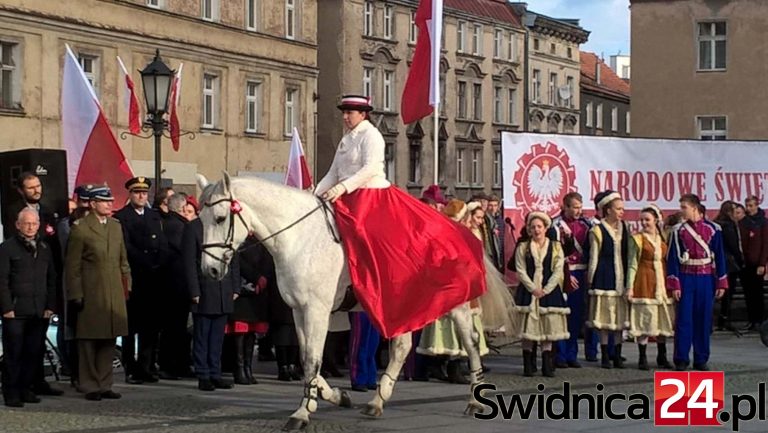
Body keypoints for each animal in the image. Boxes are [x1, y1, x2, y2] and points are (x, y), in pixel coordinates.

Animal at [195, 172, 500, 428]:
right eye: (200, 219)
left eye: (220, 218)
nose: (209, 270)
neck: (300, 239)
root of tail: (458, 225)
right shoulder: (298, 310)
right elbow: (307, 356)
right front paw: (335, 396)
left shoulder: (316, 309)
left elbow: (311, 358)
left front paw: (302, 412)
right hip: (402, 306)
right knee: (402, 347)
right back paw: (378, 400)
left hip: (454, 303)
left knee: (471, 342)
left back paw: (474, 400)